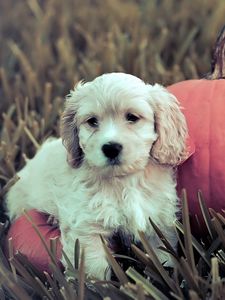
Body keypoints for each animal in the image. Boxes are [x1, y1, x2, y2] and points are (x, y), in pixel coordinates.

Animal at [5, 72, 188, 278]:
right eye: (92, 121)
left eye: (132, 117)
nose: (111, 148)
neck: (122, 181)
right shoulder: (87, 228)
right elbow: (94, 269)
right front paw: (93, 284)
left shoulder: (158, 220)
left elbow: (163, 256)